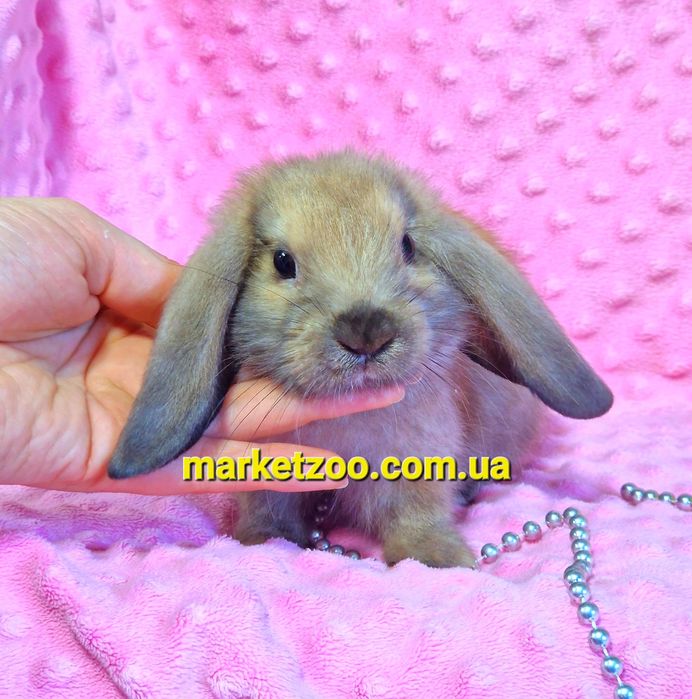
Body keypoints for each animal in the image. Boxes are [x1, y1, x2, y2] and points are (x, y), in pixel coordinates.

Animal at [108, 150, 613, 568]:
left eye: (408, 246)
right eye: (282, 262)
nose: (366, 330)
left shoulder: (419, 463)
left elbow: (417, 515)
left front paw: (438, 557)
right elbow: (269, 509)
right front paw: (260, 539)